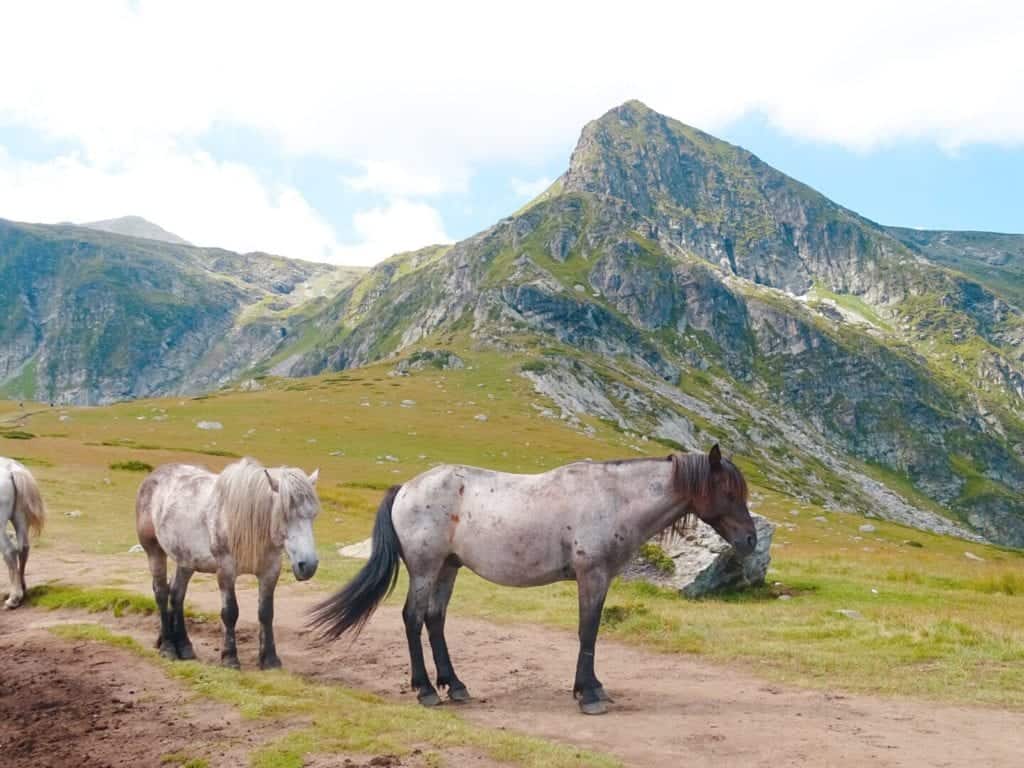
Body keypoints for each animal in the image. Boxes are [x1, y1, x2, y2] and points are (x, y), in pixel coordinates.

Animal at [0, 457, 47, 609]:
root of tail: (11, 469)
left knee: (9, 551)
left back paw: (14, 598)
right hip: (20, 516)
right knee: (24, 547)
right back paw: (22, 589)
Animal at [136, 457, 321, 669]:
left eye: (313, 515)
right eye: (285, 515)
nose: (308, 565)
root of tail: (154, 476)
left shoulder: (270, 571)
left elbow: (266, 613)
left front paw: (270, 659)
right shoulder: (226, 570)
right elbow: (230, 612)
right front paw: (230, 658)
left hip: (186, 561)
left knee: (176, 596)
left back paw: (183, 646)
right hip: (154, 551)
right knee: (161, 593)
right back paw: (167, 646)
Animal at [310, 444, 755, 715]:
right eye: (729, 492)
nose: (750, 539)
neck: (612, 499)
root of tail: (406, 488)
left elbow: (591, 631)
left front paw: (593, 687)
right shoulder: (592, 576)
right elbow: (588, 630)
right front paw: (588, 694)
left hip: (448, 568)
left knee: (435, 620)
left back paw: (455, 686)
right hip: (425, 568)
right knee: (413, 618)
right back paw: (425, 690)